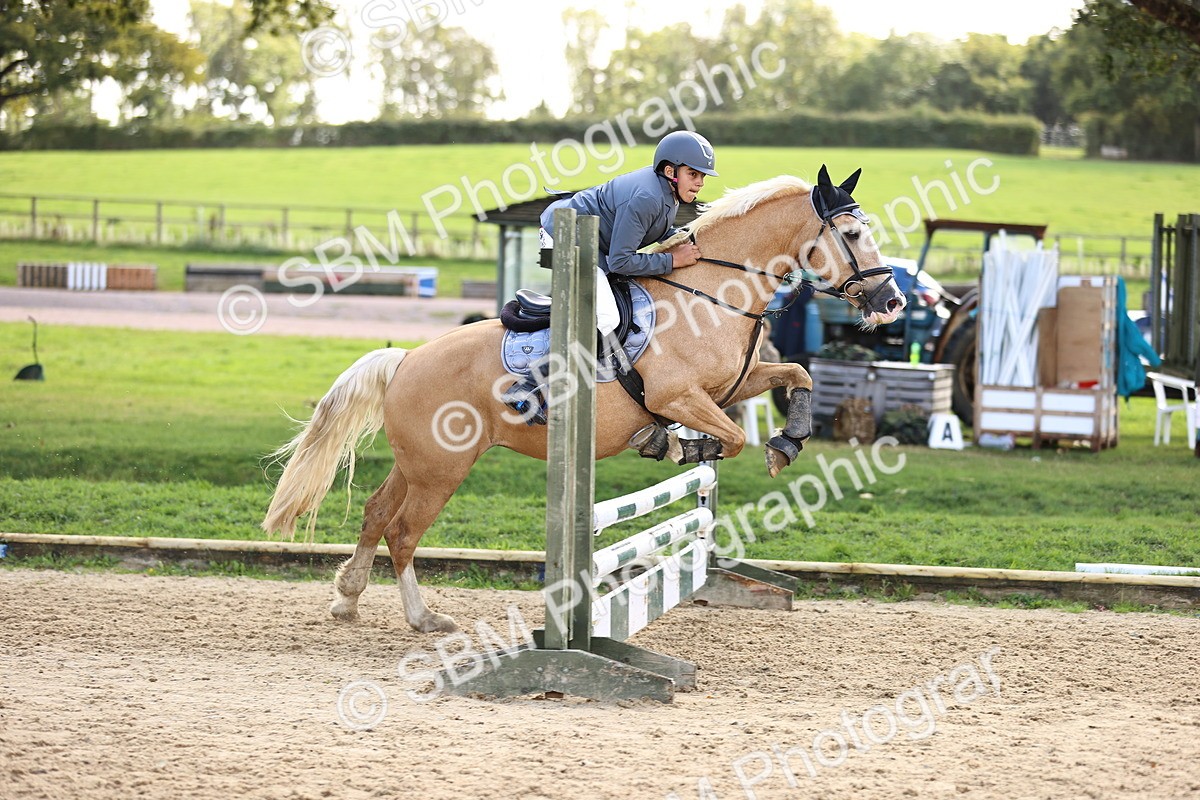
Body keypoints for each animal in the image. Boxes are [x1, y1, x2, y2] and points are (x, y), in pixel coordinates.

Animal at [261, 166, 905, 633]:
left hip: (417, 464)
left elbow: (795, 375)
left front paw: (787, 442)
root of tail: (406, 359)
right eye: (852, 235)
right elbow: (729, 437)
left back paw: (346, 600)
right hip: (442, 470)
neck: (714, 292)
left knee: (375, 513)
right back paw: (423, 619)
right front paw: (677, 446)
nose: (892, 302)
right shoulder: (679, 395)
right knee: (401, 533)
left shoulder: (732, 385)